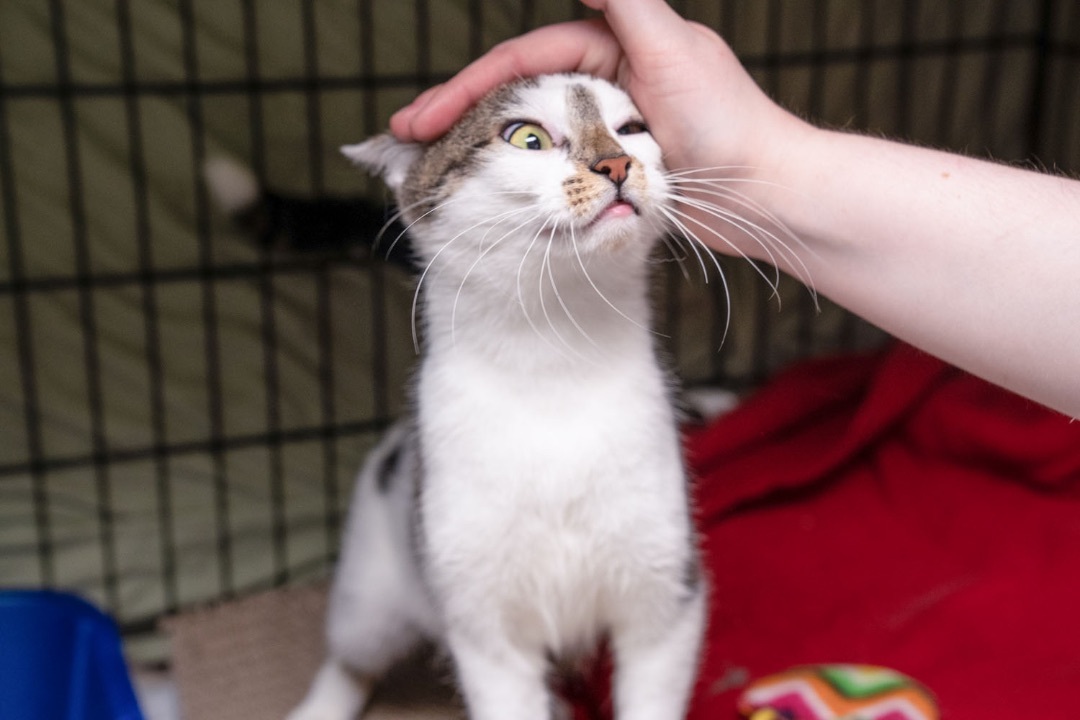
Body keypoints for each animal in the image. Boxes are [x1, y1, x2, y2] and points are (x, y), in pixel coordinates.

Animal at [289, 71, 725, 720]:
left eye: (632, 128)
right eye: (526, 137)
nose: (617, 162)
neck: (553, 361)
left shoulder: (667, 591)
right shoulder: (484, 628)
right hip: (371, 586)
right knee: (354, 654)